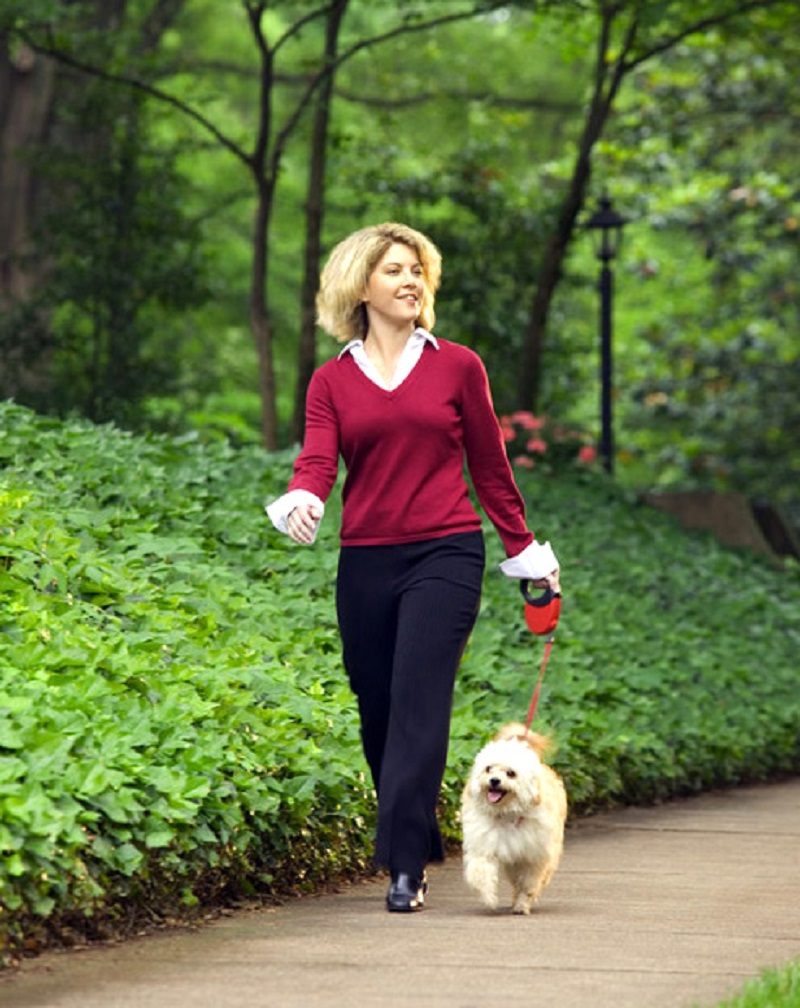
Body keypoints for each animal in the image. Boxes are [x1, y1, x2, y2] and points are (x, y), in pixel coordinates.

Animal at [457, 717, 564, 915]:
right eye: (488, 769)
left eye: (511, 773)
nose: (494, 781)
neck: (506, 814)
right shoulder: (483, 846)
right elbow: (480, 872)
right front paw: (489, 898)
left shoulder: (532, 856)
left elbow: (528, 884)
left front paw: (522, 905)